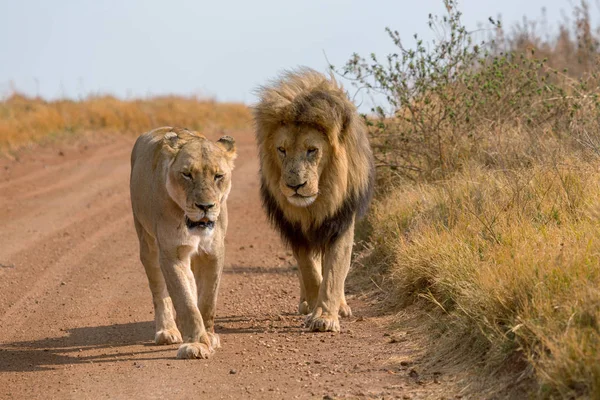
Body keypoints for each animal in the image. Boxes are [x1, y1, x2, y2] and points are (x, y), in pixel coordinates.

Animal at [131, 126, 237, 358]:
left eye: (218, 176)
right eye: (187, 174)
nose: (205, 206)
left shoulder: (213, 252)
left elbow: (207, 300)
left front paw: (209, 336)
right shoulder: (172, 253)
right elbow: (185, 301)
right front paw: (196, 344)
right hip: (147, 243)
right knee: (160, 292)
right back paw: (167, 331)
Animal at [253, 68, 376, 332]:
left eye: (312, 150)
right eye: (281, 150)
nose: (294, 186)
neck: (318, 203)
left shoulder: (341, 222)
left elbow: (334, 273)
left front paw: (326, 316)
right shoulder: (295, 230)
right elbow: (310, 271)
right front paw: (314, 308)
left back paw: (341, 306)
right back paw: (306, 304)